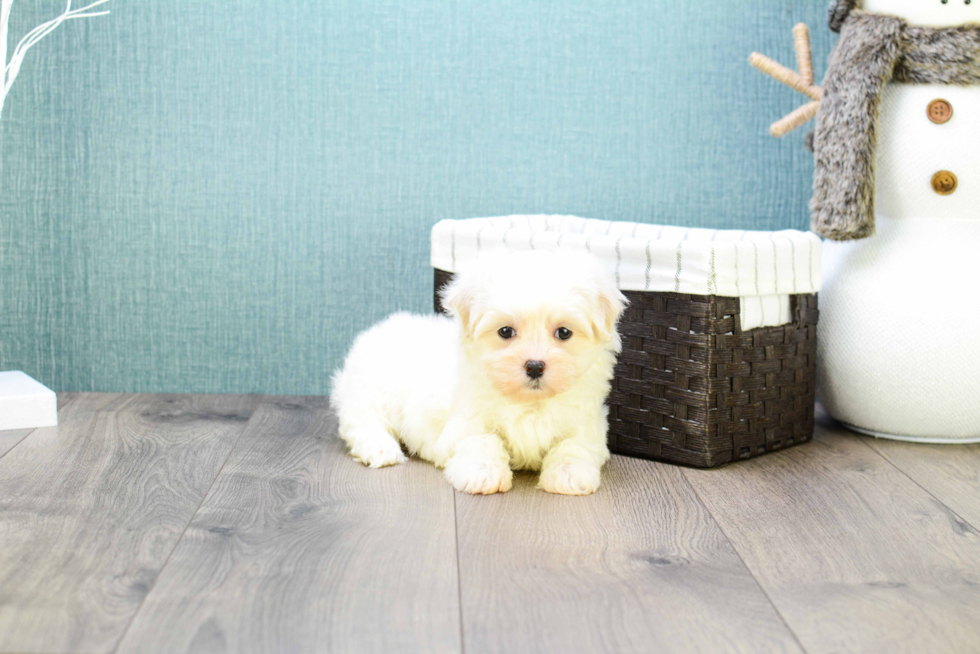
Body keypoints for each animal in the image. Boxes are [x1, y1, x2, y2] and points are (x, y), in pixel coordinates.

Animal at [332, 251, 628, 498]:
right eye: (505, 331)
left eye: (564, 332)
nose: (534, 365)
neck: (529, 403)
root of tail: (379, 329)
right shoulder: (467, 421)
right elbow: (482, 441)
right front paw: (482, 475)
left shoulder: (587, 423)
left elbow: (574, 445)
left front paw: (569, 475)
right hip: (369, 393)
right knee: (362, 422)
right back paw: (381, 449)